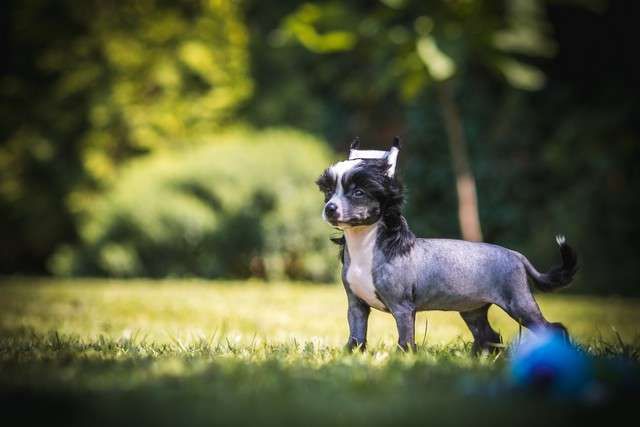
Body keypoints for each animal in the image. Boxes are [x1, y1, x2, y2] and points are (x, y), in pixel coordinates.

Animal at [316, 137, 578, 352]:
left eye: (358, 192)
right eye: (328, 192)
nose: (330, 208)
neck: (367, 247)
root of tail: (516, 255)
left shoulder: (402, 309)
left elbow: (405, 341)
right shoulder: (356, 307)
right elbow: (356, 338)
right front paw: (351, 355)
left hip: (520, 305)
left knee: (554, 328)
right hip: (473, 311)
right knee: (490, 337)